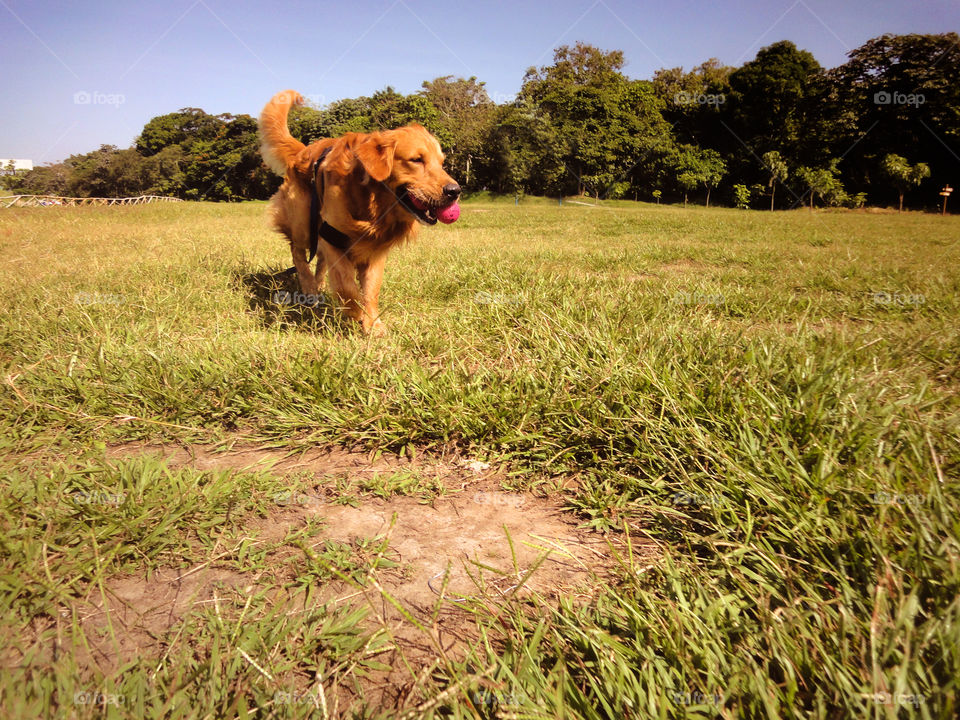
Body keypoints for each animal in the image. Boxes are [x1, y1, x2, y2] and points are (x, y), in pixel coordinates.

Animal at [258, 90, 462, 334]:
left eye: (441, 163)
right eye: (416, 160)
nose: (455, 191)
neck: (373, 206)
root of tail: (303, 150)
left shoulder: (375, 251)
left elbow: (371, 291)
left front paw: (373, 324)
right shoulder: (333, 237)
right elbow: (347, 287)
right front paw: (356, 313)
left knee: (319, 261)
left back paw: (319, 285)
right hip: (303, 221)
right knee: (297, 252)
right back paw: (309, 288)